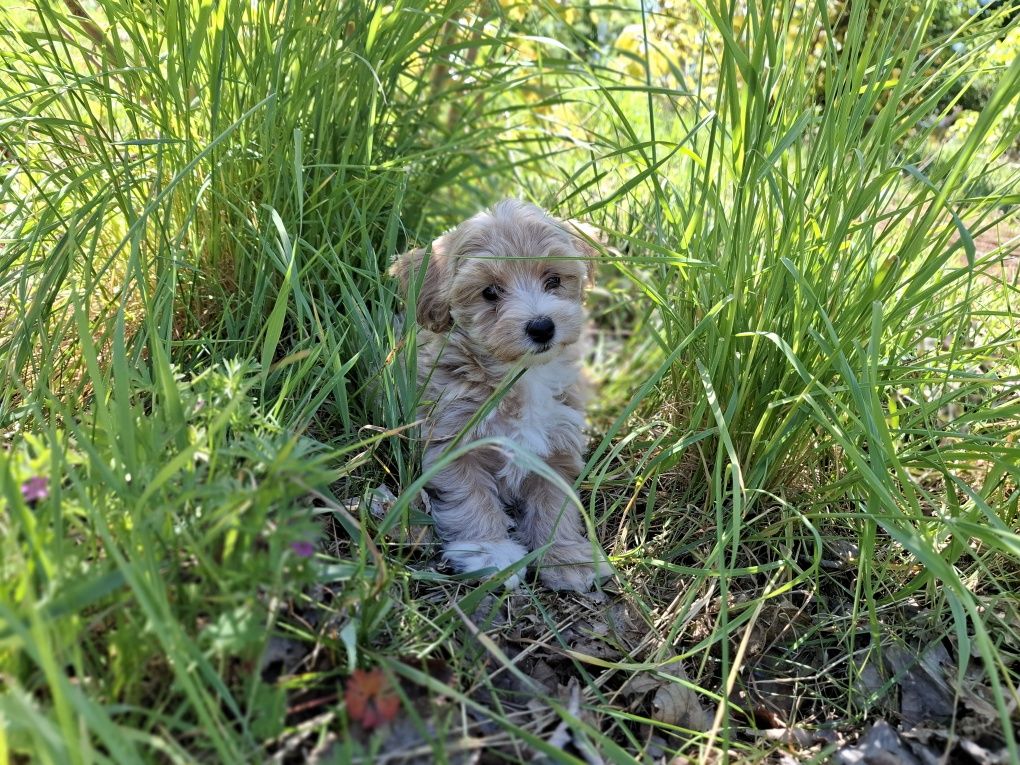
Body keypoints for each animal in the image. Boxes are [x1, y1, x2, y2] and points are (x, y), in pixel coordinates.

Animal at [389, 198, 612, 591]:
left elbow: (555, 506)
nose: (542, 327)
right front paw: (490, 552)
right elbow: (471, 498)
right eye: (490, 292)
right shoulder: (452, 443)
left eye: (553, 280)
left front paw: (565, 555)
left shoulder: (557, 448)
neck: (519, 376)